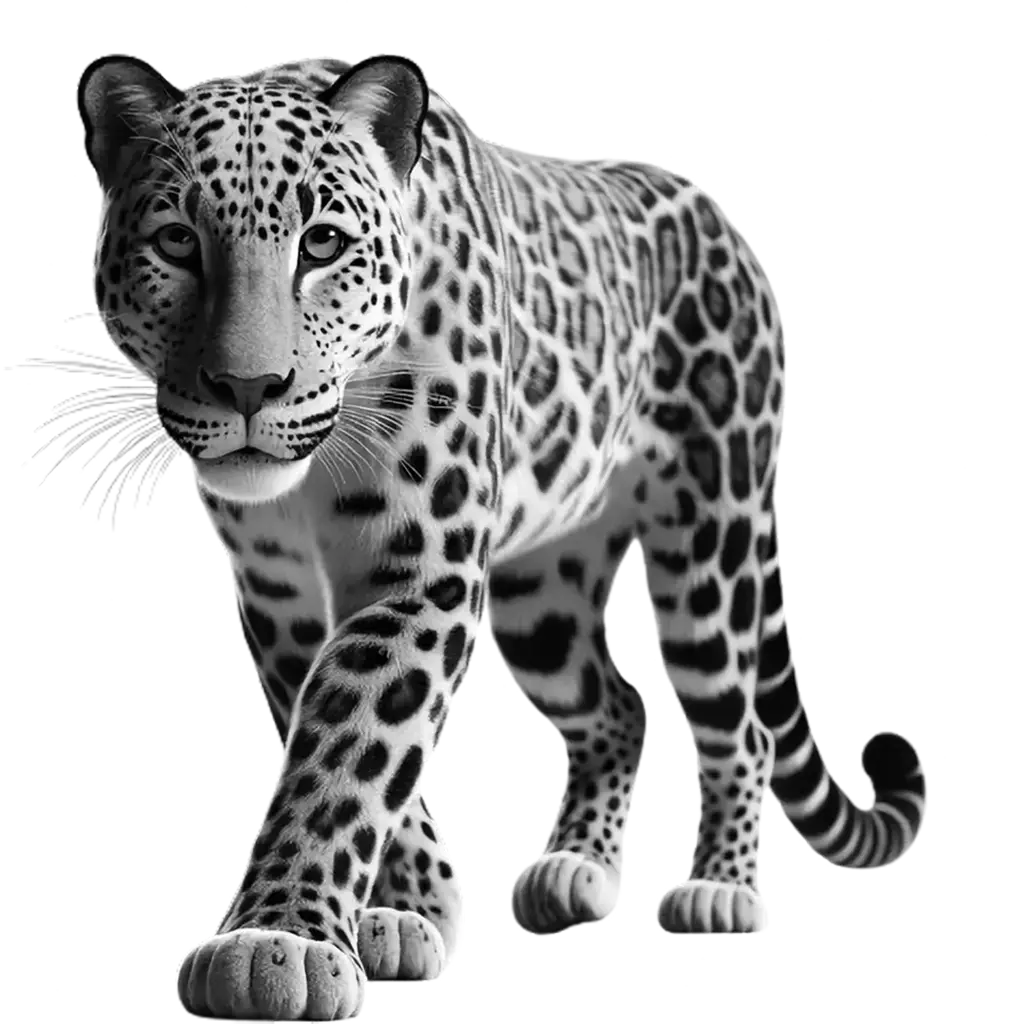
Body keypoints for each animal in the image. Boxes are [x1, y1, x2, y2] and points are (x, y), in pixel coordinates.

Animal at [77, 52, 928, 1020]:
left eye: (322, 244)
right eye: (178, 243)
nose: (249, 388)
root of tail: (714, 212)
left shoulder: (425, 571)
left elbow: (348, 753)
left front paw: (280, 940)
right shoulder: (277, 600)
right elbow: (361, 750)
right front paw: (410, 910)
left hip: (713, 535)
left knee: (737, 723)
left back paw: (720, 887)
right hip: (542, 602)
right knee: (619, 708)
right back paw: (574, 870)